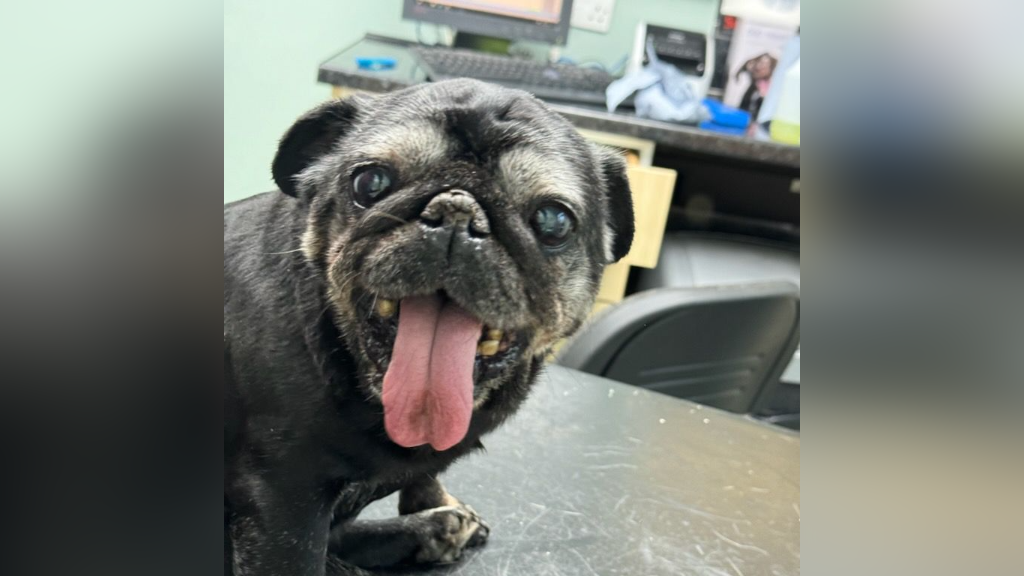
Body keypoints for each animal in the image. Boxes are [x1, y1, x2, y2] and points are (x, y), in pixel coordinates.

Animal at [226, 79, 630, 573]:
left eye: (554, 220)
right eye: (370, 182)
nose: (458, 211)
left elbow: (423, 475)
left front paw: (434, 505)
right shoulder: (284, 502)